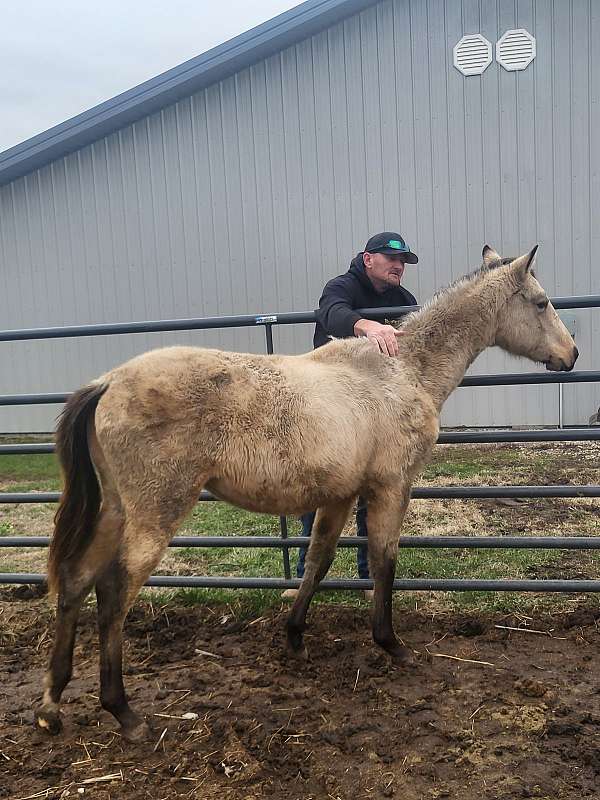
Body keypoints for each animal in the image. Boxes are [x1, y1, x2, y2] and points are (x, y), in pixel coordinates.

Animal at [34, 242, 576, 736]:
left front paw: (294, 637)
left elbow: (318, 559)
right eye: (541, 302)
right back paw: (122, 711)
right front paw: (390, 643)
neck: (402, 372)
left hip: (114, 510)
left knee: (76, 581)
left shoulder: (340, 495)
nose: (572, 354)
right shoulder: (390, 487)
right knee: (113, 593)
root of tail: (108, 382)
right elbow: (384, 560)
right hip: (155, 512)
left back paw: (51, 704)